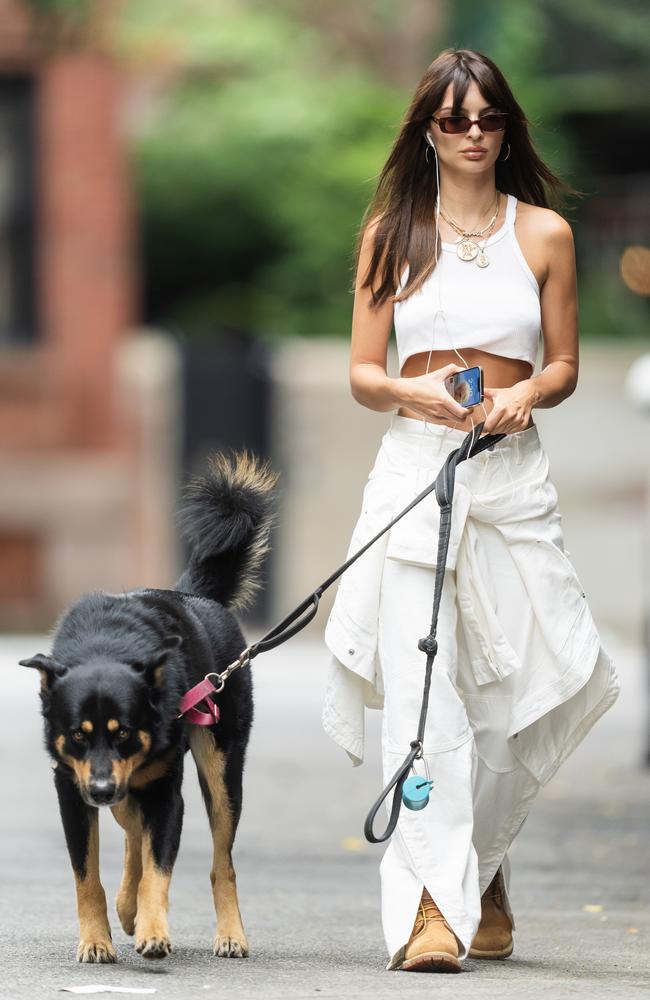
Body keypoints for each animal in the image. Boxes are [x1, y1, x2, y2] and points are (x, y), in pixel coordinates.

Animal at [19, 452, 278, 960]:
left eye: (123, 731)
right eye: (77, 734)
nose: (101, 789)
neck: (107, 647)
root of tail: (194, 595)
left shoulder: (164, 793)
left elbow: (158, 872)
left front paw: (153, 931)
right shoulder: (73, 790)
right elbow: (87, 878)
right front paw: (97, 939)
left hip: (220, 771)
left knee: (221, 860)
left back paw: (229, 934)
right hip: (124, 787)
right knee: (131, 834)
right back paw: (125, 907)